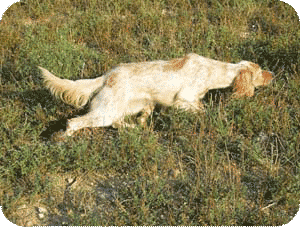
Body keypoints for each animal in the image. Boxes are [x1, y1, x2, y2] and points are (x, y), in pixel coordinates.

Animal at [38, 52, 272, 136]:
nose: (273, 75)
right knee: (73, 123)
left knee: (119, 123)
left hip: (126, 107)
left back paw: (138, 127)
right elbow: (202, 110)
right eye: (260, 72)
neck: (212, 70)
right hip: (105, 111)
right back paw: (62, 140)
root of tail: (106, 76)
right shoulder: (183, 100)